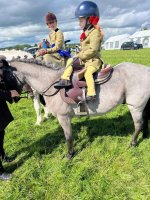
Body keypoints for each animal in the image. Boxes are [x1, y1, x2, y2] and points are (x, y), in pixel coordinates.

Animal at [4, 59, 150, 158]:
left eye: (3, 77)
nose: (12, 98)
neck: (52, 83)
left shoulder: (63, 117)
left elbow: (68, 136)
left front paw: (69, 155)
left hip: (135, 107)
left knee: (138, 124)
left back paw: (133, 143)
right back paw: (144, 136)